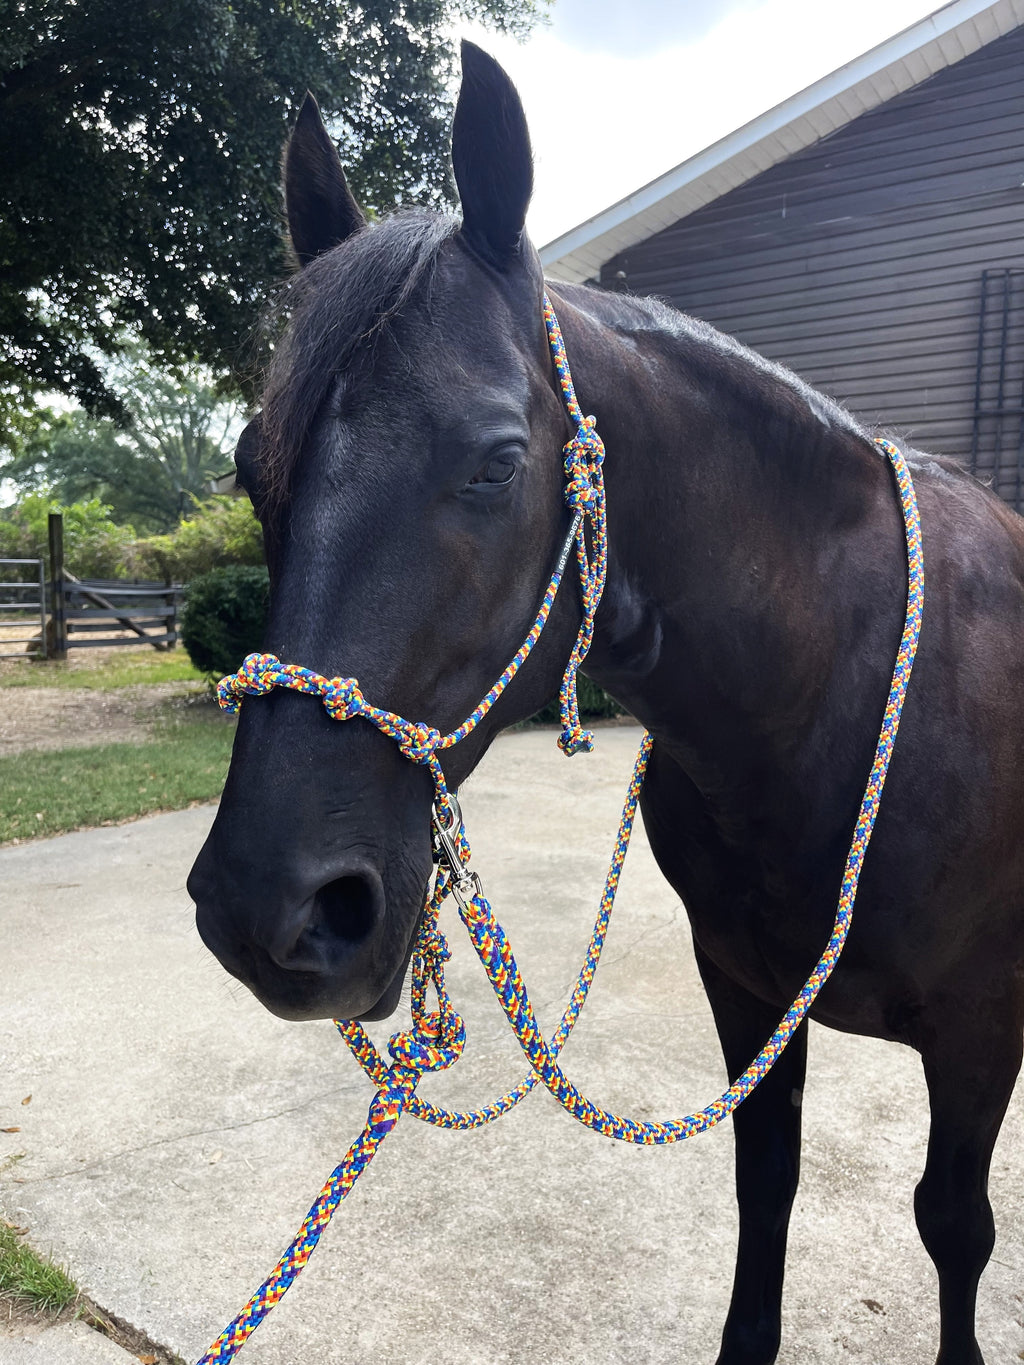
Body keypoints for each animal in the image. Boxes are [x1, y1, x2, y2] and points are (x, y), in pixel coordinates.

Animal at [187, 42, 1024, 1365]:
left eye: (496, 461)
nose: (266, 912)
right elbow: (764, 1182)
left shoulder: (983, 1021)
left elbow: (954, 1224)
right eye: (246, 465)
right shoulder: (743, 988)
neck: (829, 710)